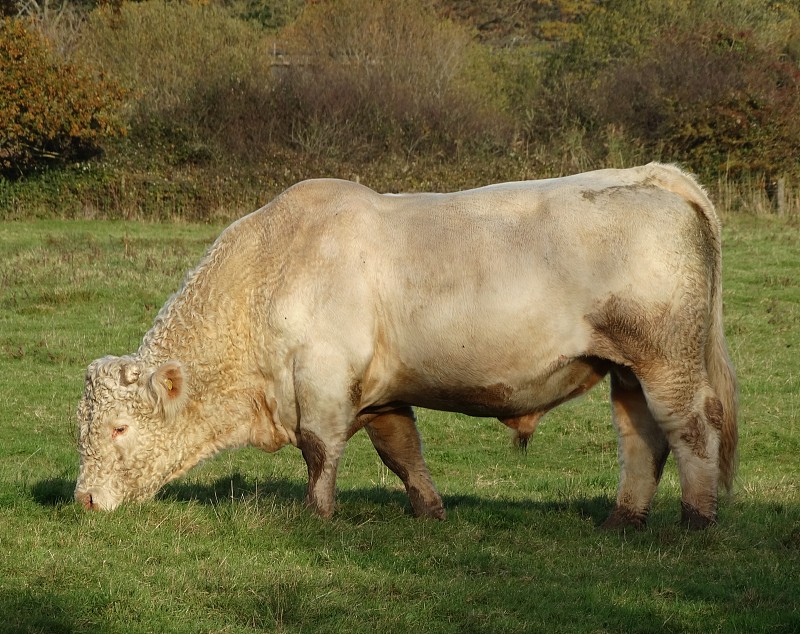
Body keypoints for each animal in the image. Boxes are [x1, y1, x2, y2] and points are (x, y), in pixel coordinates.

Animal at [75, 160, 736, 524]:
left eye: (119, 428)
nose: (82, 500)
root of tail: (648, 175)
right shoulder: (382, 393)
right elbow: (403, 453)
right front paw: (430, 511)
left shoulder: (321, 381)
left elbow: (320, 452)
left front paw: (317, 517)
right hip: (627, 369)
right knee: (642, 439)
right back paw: (623, 520)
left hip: (667, 361)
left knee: (690, 430)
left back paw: (696, 520)